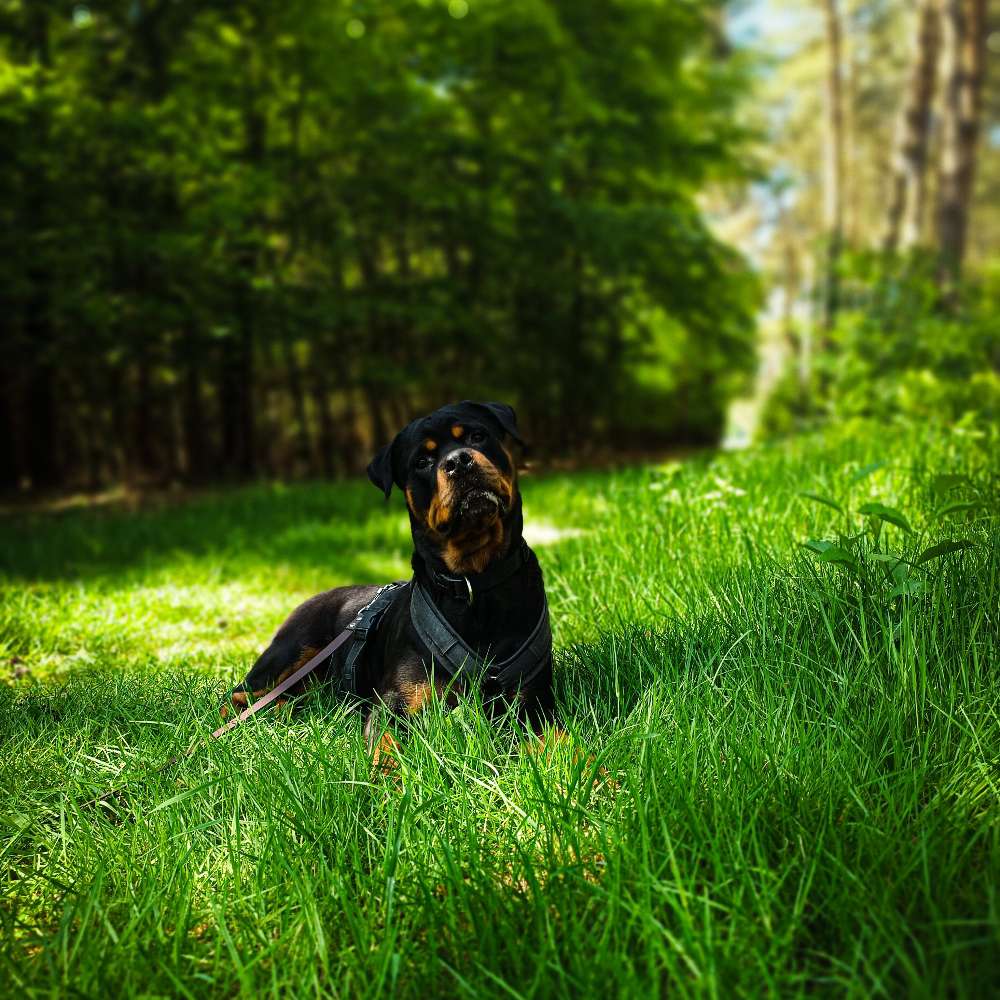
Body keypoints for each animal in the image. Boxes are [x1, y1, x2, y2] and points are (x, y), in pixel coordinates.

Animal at [223, 398, 560, 752]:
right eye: (422, 461)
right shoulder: (394, 703)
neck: (473, 582)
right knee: (240, 697)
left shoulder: (535, 703)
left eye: (477, 436)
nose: (458, 461)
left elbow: (559, 741)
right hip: (291, 651)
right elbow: (386, 748)